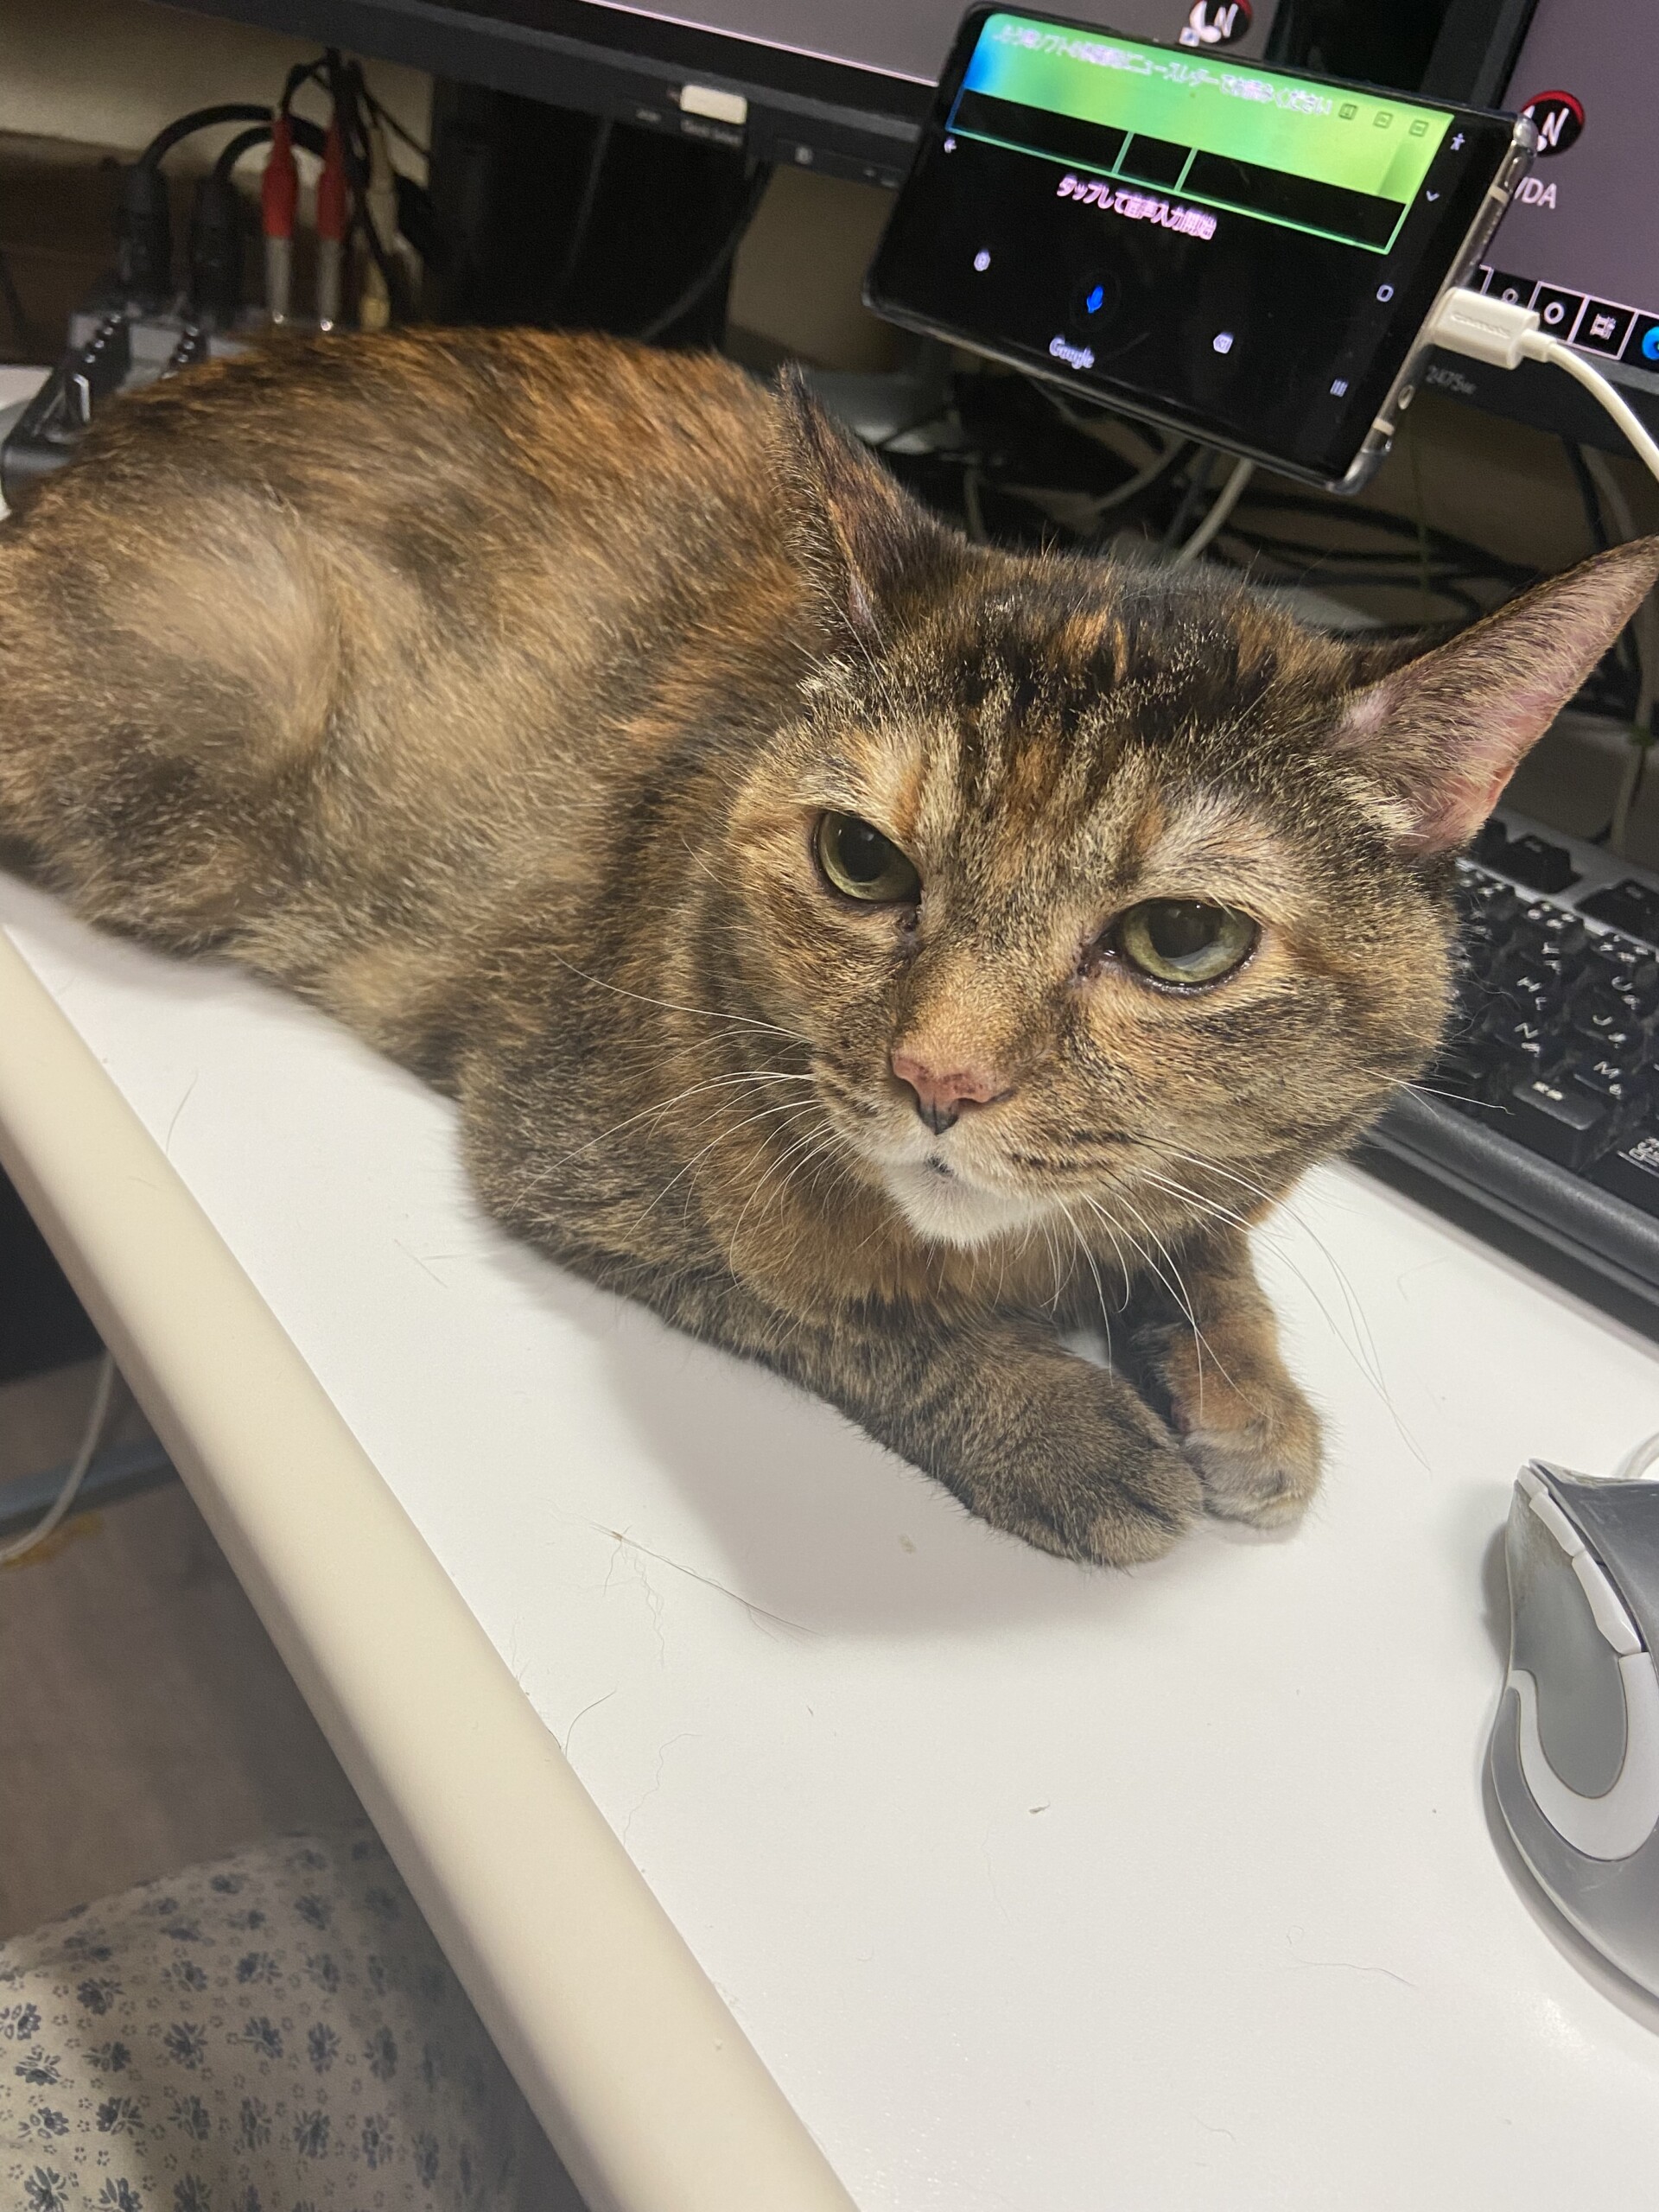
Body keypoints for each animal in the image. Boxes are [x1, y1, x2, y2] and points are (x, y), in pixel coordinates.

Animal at [1, 326, 1653, 1566]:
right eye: (862, 863)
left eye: (1182, 940)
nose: (938, 1082)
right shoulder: (567, 1160)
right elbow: (839, 1309)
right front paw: (1060, 1424)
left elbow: (1203, 1234)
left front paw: (1239, 1385)